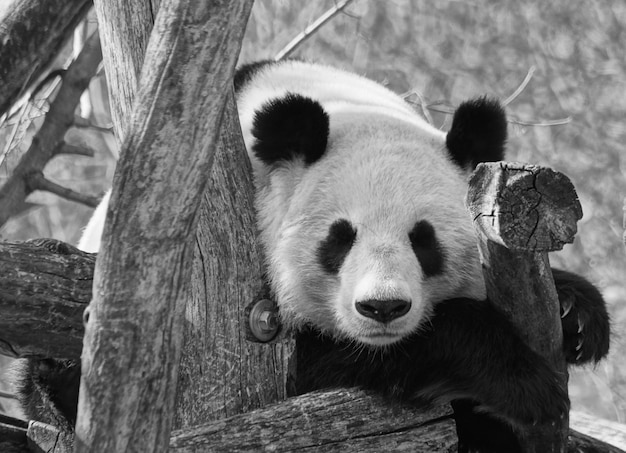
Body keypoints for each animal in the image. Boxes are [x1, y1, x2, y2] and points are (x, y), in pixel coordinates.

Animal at [17, 61, 608, 452]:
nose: (383, 309)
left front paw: (576, 314)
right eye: (339, 238)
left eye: (424, 240)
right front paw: (523, 383)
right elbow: (318, 367)